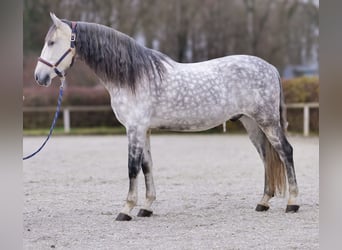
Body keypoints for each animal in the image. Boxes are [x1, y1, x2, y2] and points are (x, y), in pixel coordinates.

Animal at [33, 13, 298, 221]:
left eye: (52, 42)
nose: (39, 77)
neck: (133, 77)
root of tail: (270, 68)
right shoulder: (145, 130)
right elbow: (147, 166)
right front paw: (146, 207)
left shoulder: (135, 129)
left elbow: (132, 168)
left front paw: (126, 209)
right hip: (252, 123)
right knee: (266, 157)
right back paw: (263, 202)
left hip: (267, 121)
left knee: (285, 152)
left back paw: (292, 203)